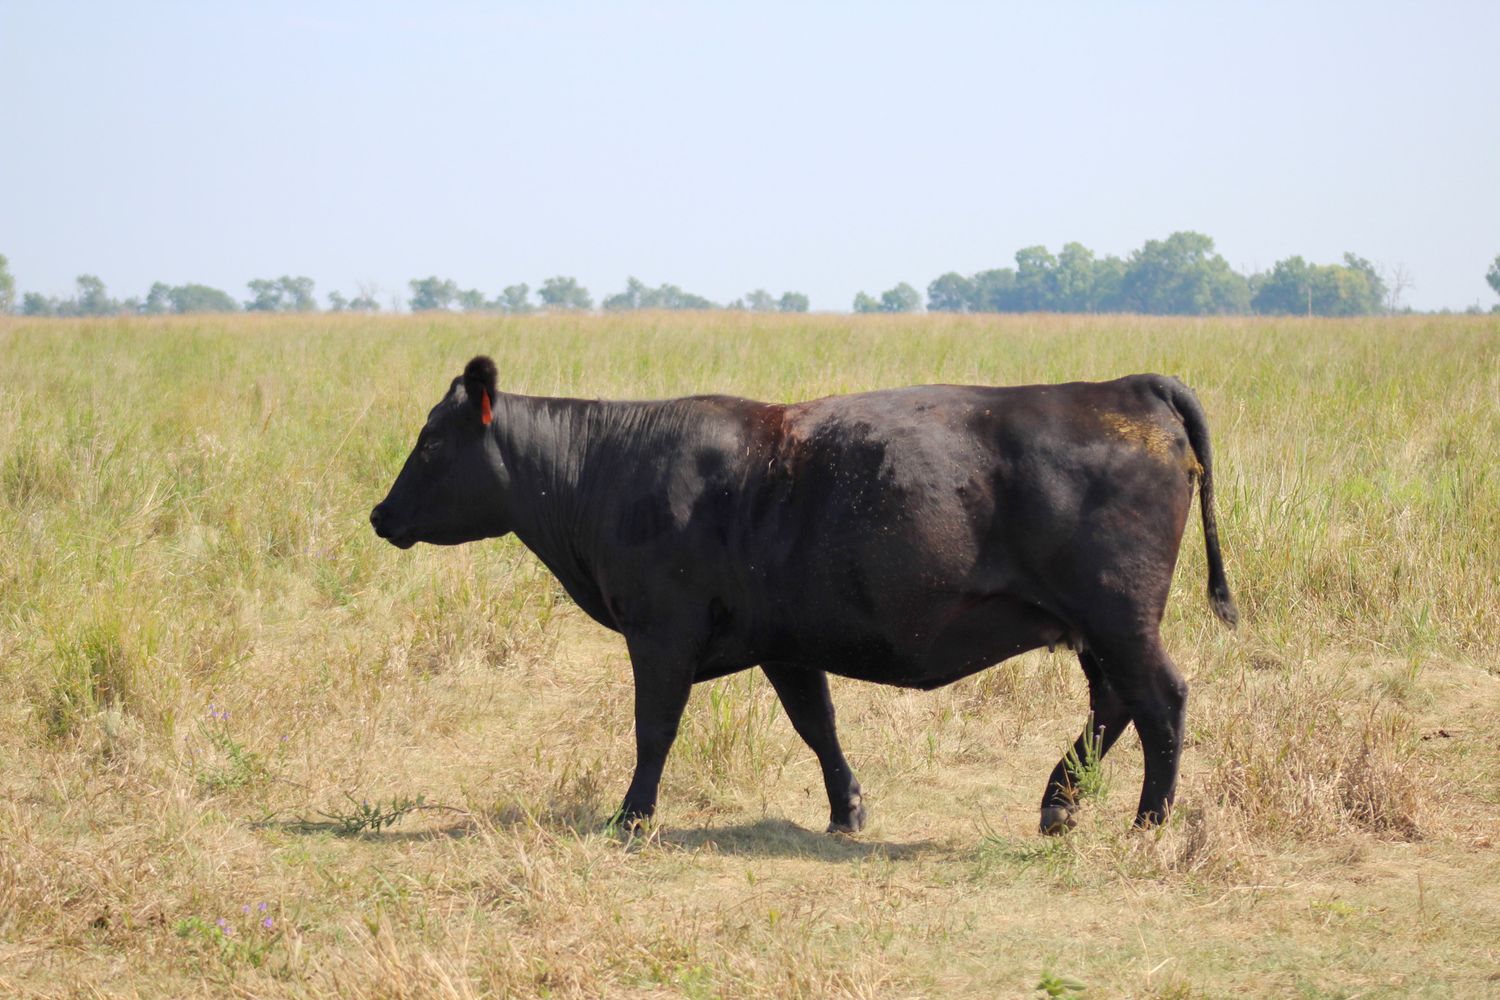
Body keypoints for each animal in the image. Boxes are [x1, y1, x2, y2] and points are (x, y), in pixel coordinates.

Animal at [370, 356, 1236, 836]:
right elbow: (817, 725)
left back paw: (1148, 820)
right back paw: (1060, 804)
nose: (380, 514)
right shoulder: (784, 642)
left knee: (1160, 700)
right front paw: (847, 809)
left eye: (431, 441)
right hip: (1092, 627)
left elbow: (654, 730)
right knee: (1115, 706)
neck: (612, 465)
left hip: (1119, 617)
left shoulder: (660, 633)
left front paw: (632, 817)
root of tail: (1127, 387)